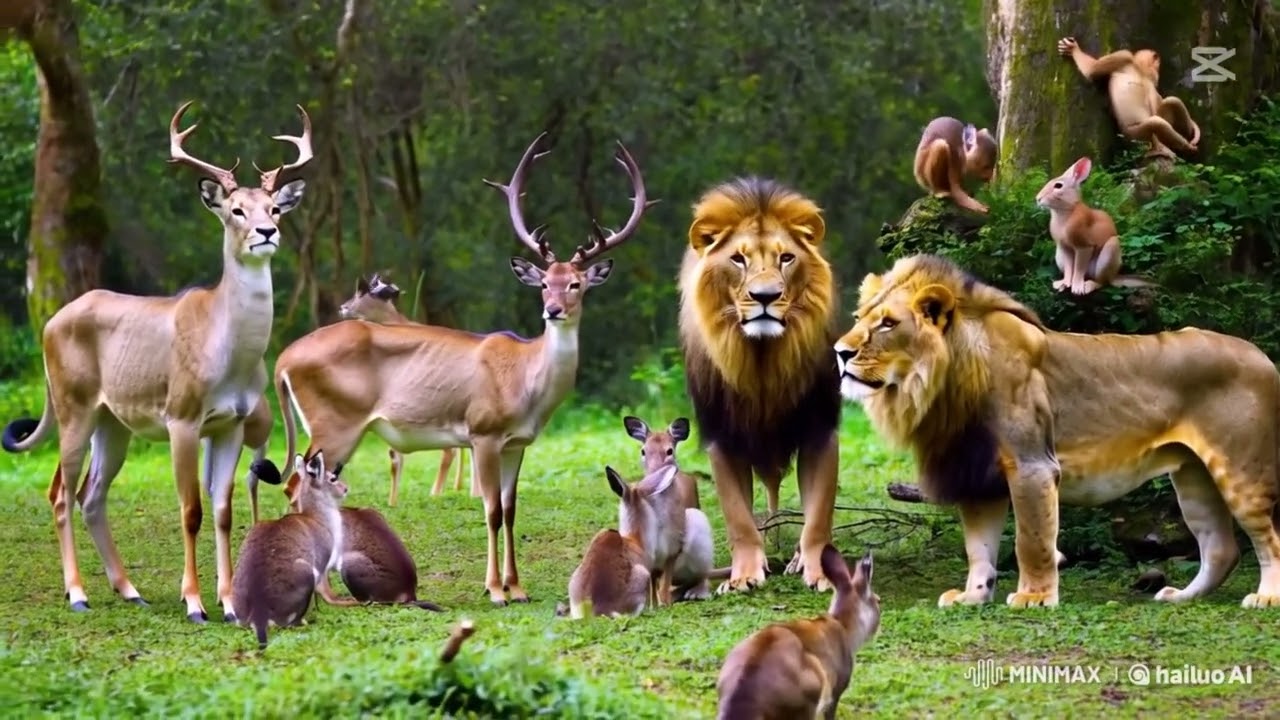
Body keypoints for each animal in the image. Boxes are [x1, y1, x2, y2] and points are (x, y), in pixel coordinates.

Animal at [678, 176, 843, 594]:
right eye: (738, 259)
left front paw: (820, 572)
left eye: (786, 258)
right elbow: (739, 518)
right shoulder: (721, 436)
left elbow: (818, 516)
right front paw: (742, 577)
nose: (765, 296)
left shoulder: (819, 430)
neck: (762, 360)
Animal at [834, 253, 1280, 609]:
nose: (839, 352)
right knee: (1220, 548)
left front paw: (1033, 597)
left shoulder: (1031, 464)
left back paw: (1266, 598)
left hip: (1241, 469)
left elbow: (1030, 539)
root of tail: (1261, 354)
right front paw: (972, 597)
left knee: (1267, 537)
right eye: (858, 320)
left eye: (888, 324)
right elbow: (978, 548)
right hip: (1193, 476)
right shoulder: (979, 475)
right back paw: (1181, 596)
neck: (945, 383)